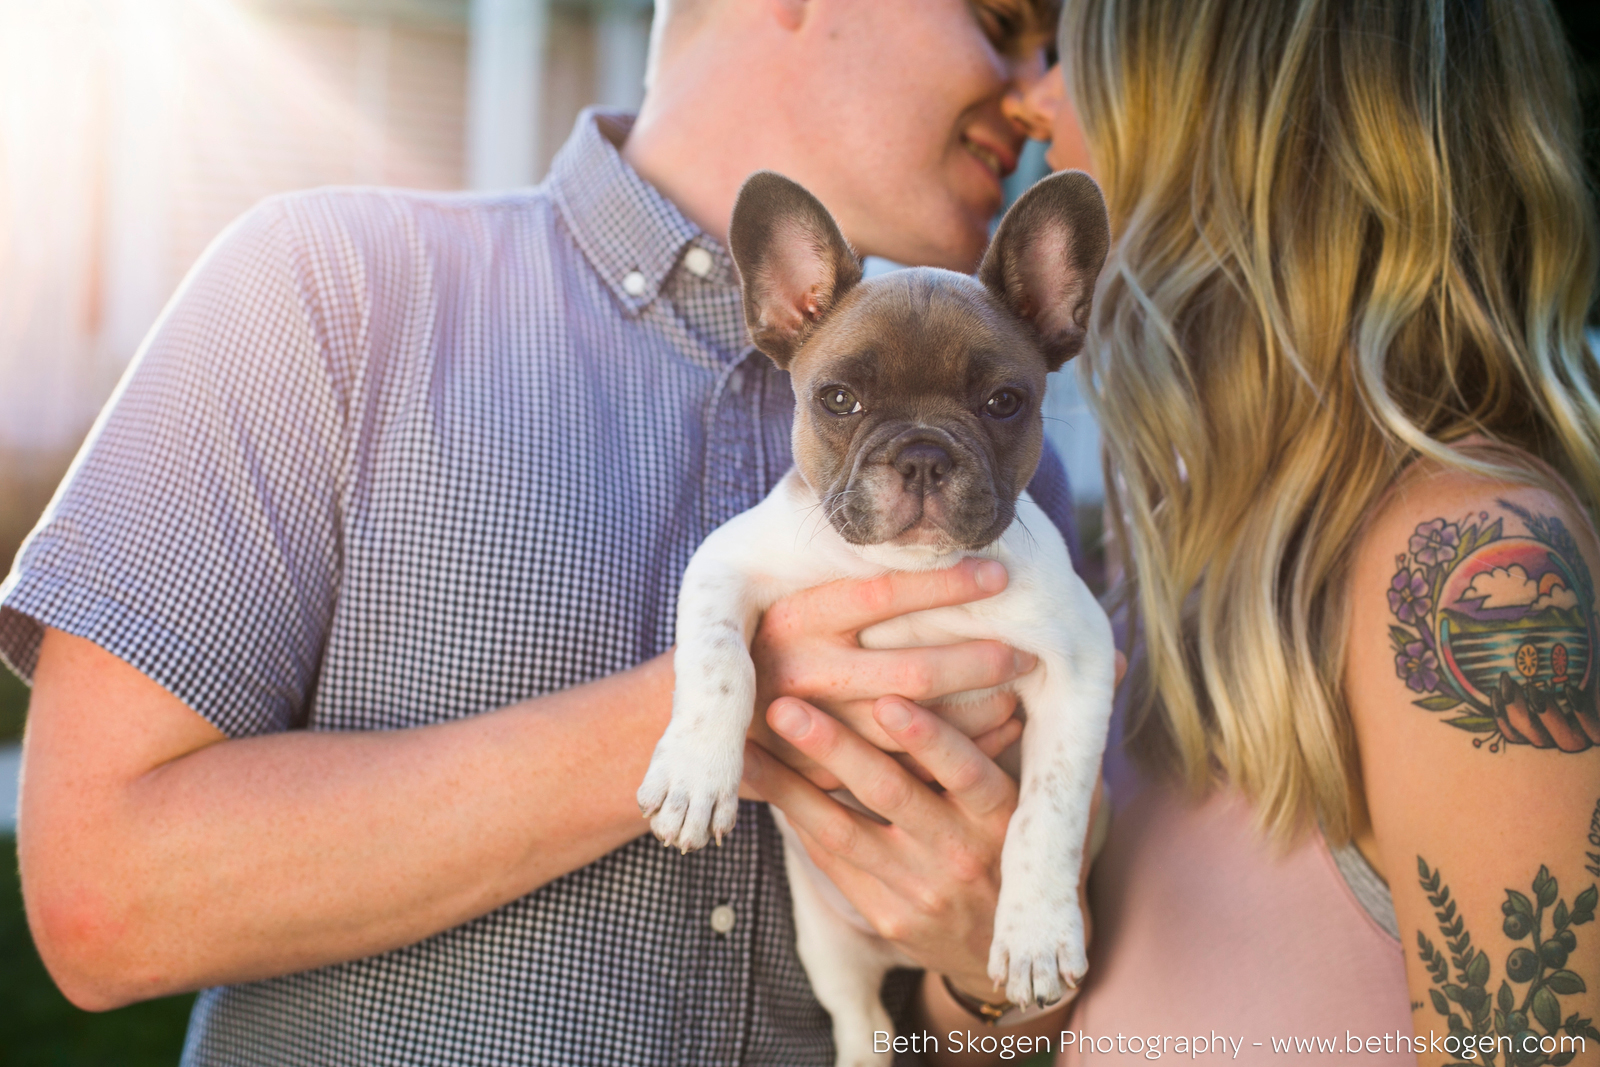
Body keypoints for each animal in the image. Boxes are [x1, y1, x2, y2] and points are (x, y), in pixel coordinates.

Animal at [636, 171, 1113, 1062]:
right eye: (838, 398)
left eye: (1004, 401)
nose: (922, 453)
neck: (906, 569)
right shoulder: (726, 561)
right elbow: (718, 664)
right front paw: (693, 776)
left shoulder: (1083, 660)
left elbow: (1051, 804)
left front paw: (1035, 932)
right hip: (825, 943)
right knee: (864, 1018)